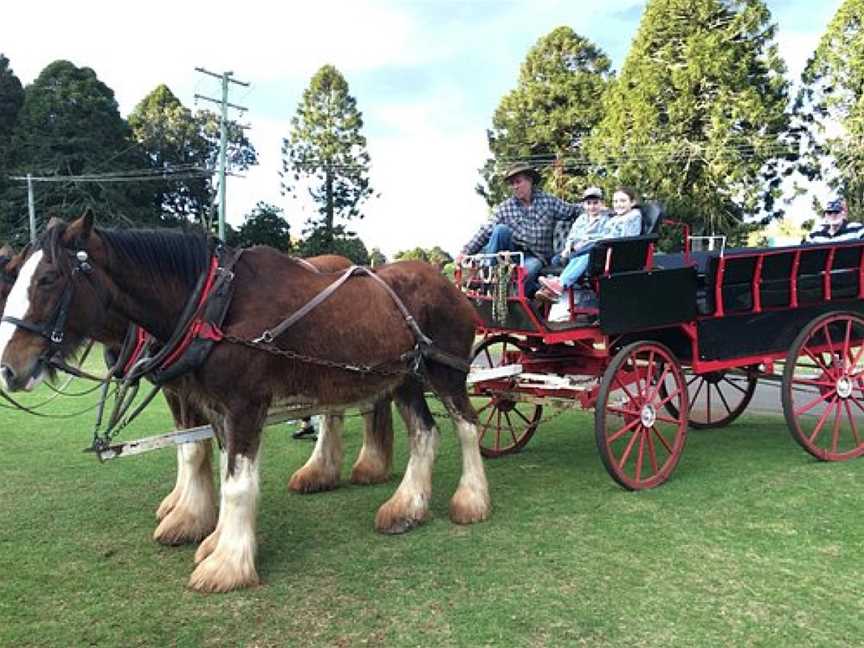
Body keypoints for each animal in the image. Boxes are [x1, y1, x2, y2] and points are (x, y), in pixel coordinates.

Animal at [0, 243, 394, 548]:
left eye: (46, 281)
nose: (9, 369)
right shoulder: (180, 389)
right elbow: (190, 445)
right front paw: (183, 509)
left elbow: (194, 448)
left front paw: (188, 516)